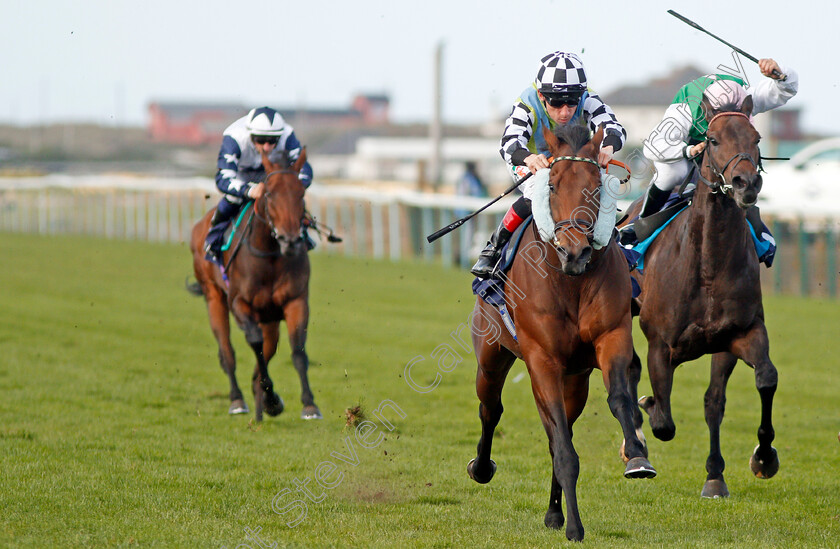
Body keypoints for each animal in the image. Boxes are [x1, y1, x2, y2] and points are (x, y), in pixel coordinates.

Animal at [188, 149, 322, 420]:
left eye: (301, 194)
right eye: (269, 194)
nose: (290, 241)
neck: (269, 256)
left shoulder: (295, 301)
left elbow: (297, 351)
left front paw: (307, 404)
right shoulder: (240, 303)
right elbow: (255, 343)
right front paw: (268, 395)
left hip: (268, 316)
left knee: (269, 346)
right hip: (214, 296)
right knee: (227, 352)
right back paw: (237, 399)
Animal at [466, 124, 656, 540]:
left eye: (596, 186)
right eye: (552, 185)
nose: (575, 252)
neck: (570, 281)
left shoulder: (611, 337)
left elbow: (618, 399)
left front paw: (637, 457)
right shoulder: (542, 359)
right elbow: (564, 449)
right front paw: (574, 527)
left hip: (576, 380)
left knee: (559, 430)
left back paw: (554, 511)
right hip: (491, 356)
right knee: (491, 409)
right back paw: (482, 468)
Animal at [616, 94, 780, 496]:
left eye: (756, 138)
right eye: (715, 140)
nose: (746, 182)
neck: (708, 266)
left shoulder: (737, 334)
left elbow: (744, 388)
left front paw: (748, 463)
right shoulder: (661, 344)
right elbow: (663, 421)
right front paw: (647, 412)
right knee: (629, 370)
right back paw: (635, 443)